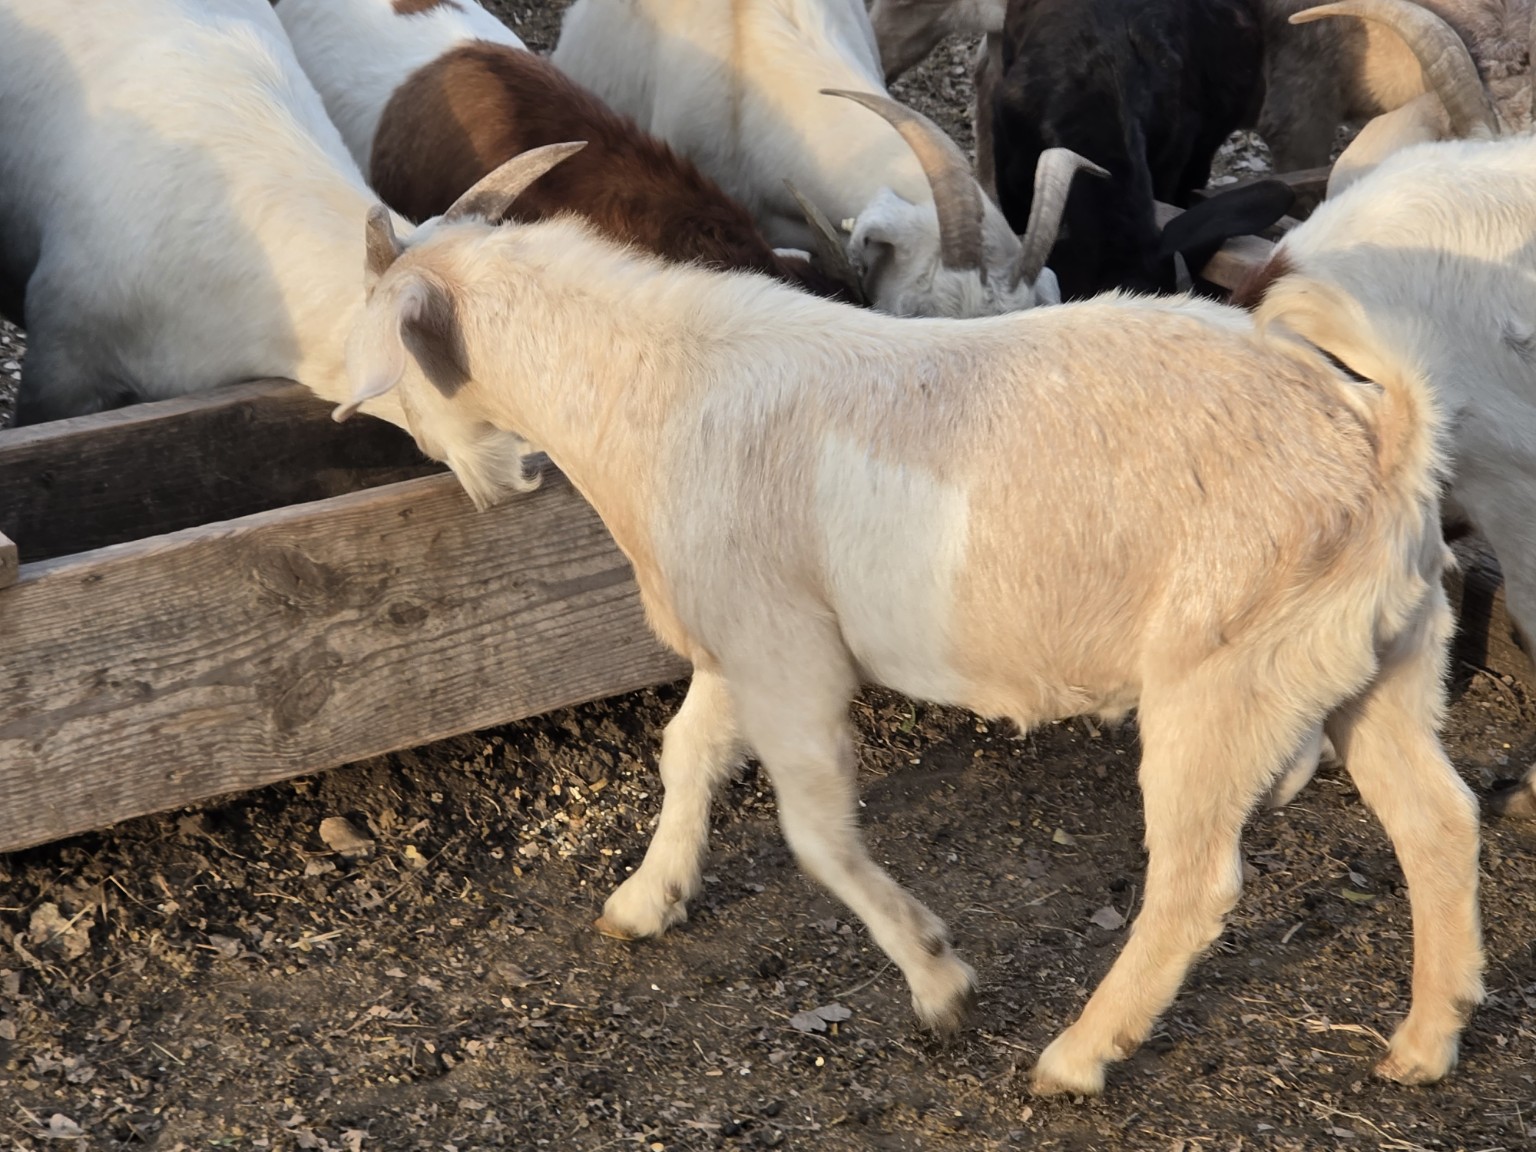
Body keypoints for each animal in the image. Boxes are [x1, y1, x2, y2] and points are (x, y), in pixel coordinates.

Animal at [336, 147, 1484, 1096]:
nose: (479, 477)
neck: (652, 384)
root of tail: (1383, 438)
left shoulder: (785, 652)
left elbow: (814, 830)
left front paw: (938, 979)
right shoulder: (746, 633)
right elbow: (687, 750)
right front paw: (647, 898)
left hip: (1224, 675)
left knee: (1196, 884)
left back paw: (1077, 1057)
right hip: (1383, 656)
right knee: (1438, 819)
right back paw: (1426, 1041)